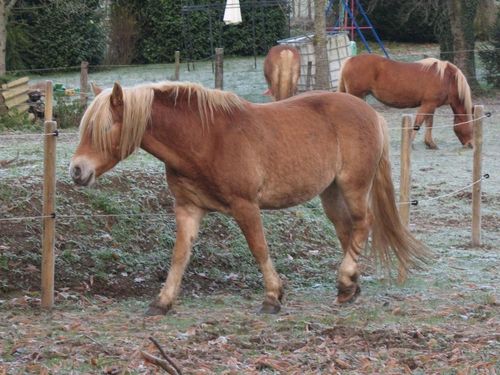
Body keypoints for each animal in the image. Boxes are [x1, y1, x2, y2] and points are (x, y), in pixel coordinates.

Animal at [70, 81, 428, 316]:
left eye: (104, 128)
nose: (76, 170)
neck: (205, 138)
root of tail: (370, 112)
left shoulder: (245, 206)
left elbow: (259, 248)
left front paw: (272, 296)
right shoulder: (188, 209)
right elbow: (179, 256)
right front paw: (163, 301)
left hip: (354, 186)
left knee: (363, 224)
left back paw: (345, 280)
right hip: (331, 192)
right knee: (347, 230)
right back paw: (349, 287)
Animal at [338, 54, 474, 148]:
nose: (471, 144)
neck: (447, 79)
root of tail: (349, 60)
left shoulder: (431, 105)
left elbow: (429, 123)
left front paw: (430, 143)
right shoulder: (428, 104)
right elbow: (418, 123)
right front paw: (410, 143)